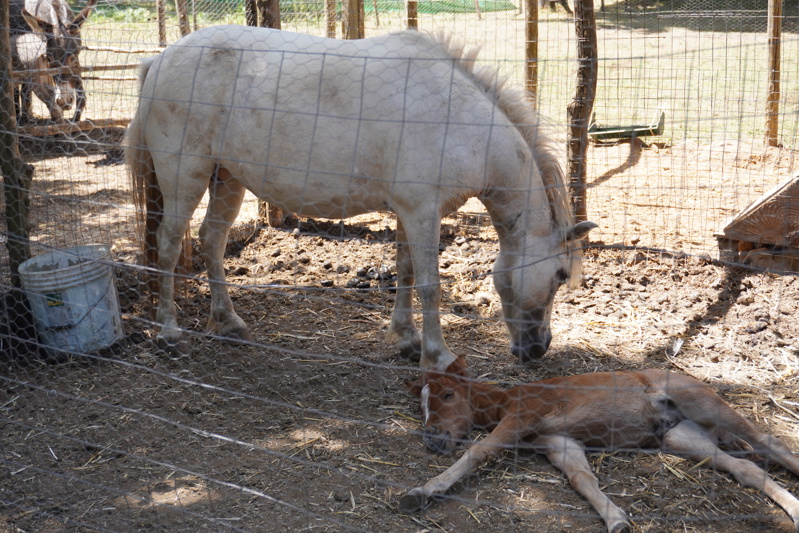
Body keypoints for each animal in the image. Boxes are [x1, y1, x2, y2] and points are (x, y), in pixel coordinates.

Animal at [126, 26, 596, 369]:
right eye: (560, 275)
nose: (538, 349)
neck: (459, 122)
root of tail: (159, 60)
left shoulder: (410, 213)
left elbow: (405, 272)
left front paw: (407, 339)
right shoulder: (423, 213)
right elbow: (430, 285)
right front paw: (438, 356)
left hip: (227, 178)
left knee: (211, 239)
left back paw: (228, 323)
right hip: (186, 178)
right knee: (169, 245)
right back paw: (169, 334)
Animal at [402, 358, 799, 532]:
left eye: (448, 394)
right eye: (421, 406)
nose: (433, 439)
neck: (507, 400)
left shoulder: (522, 417)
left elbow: (479, 449)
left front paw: (423, 490)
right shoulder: (558, 442)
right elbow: (581, 479)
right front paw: (616, 519)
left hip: (705, 404)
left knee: (768, 442)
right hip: (681, 436)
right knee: (746, 468)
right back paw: (791, 506)